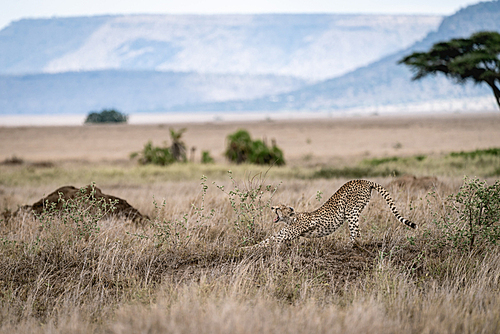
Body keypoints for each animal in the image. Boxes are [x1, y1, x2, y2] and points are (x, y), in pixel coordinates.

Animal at [246, 180, 414, 248]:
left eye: (279, 208)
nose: (271, 207)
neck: (292, 218)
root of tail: (364, 180)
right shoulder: (284, 234)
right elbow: (268, 240)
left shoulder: (285, 234)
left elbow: (266, 242)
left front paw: (245, 249)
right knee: (357, 231)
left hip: (351, 210)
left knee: (356, 232)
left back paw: (349, 246)